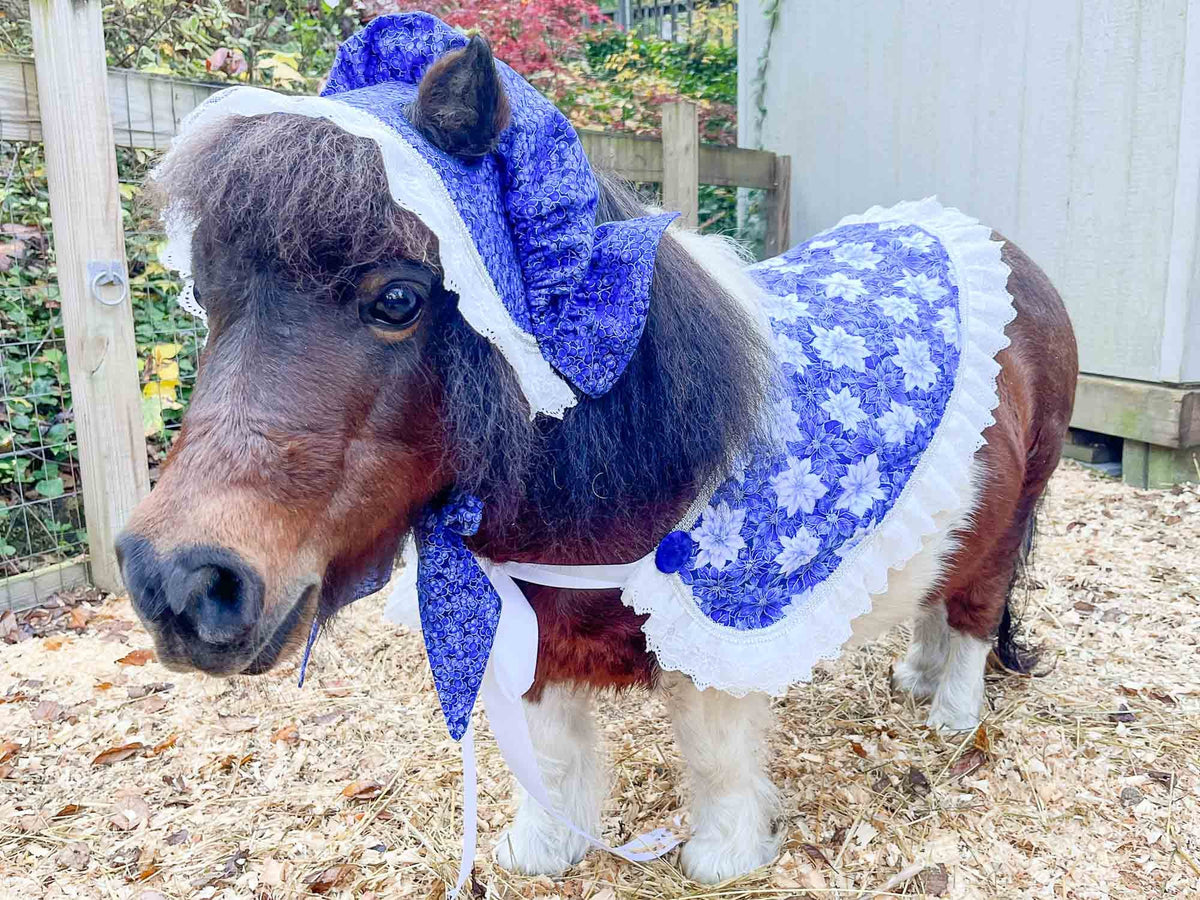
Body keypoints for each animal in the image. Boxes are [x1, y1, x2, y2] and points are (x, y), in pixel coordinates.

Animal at [117, 20, 1078, 884]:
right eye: (209, 295)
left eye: (397, 298)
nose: (179, 582)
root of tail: (1009, 257)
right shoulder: (529, 625)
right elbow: (550, 754)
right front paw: (543, 851)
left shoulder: (710, 641)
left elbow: (716, 753)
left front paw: (724, 858)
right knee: (938, 594)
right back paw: (915, 676)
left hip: (1017, 510)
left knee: (976, 612)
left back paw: (952, 719)